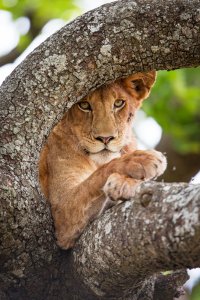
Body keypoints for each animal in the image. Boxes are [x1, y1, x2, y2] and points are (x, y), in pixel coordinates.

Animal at [39, 71, 167, 250]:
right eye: (84, 105)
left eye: (118, 103)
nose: (105, 138)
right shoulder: (62, 211)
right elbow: (101, 172)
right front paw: (143, 159)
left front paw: (125, 183)